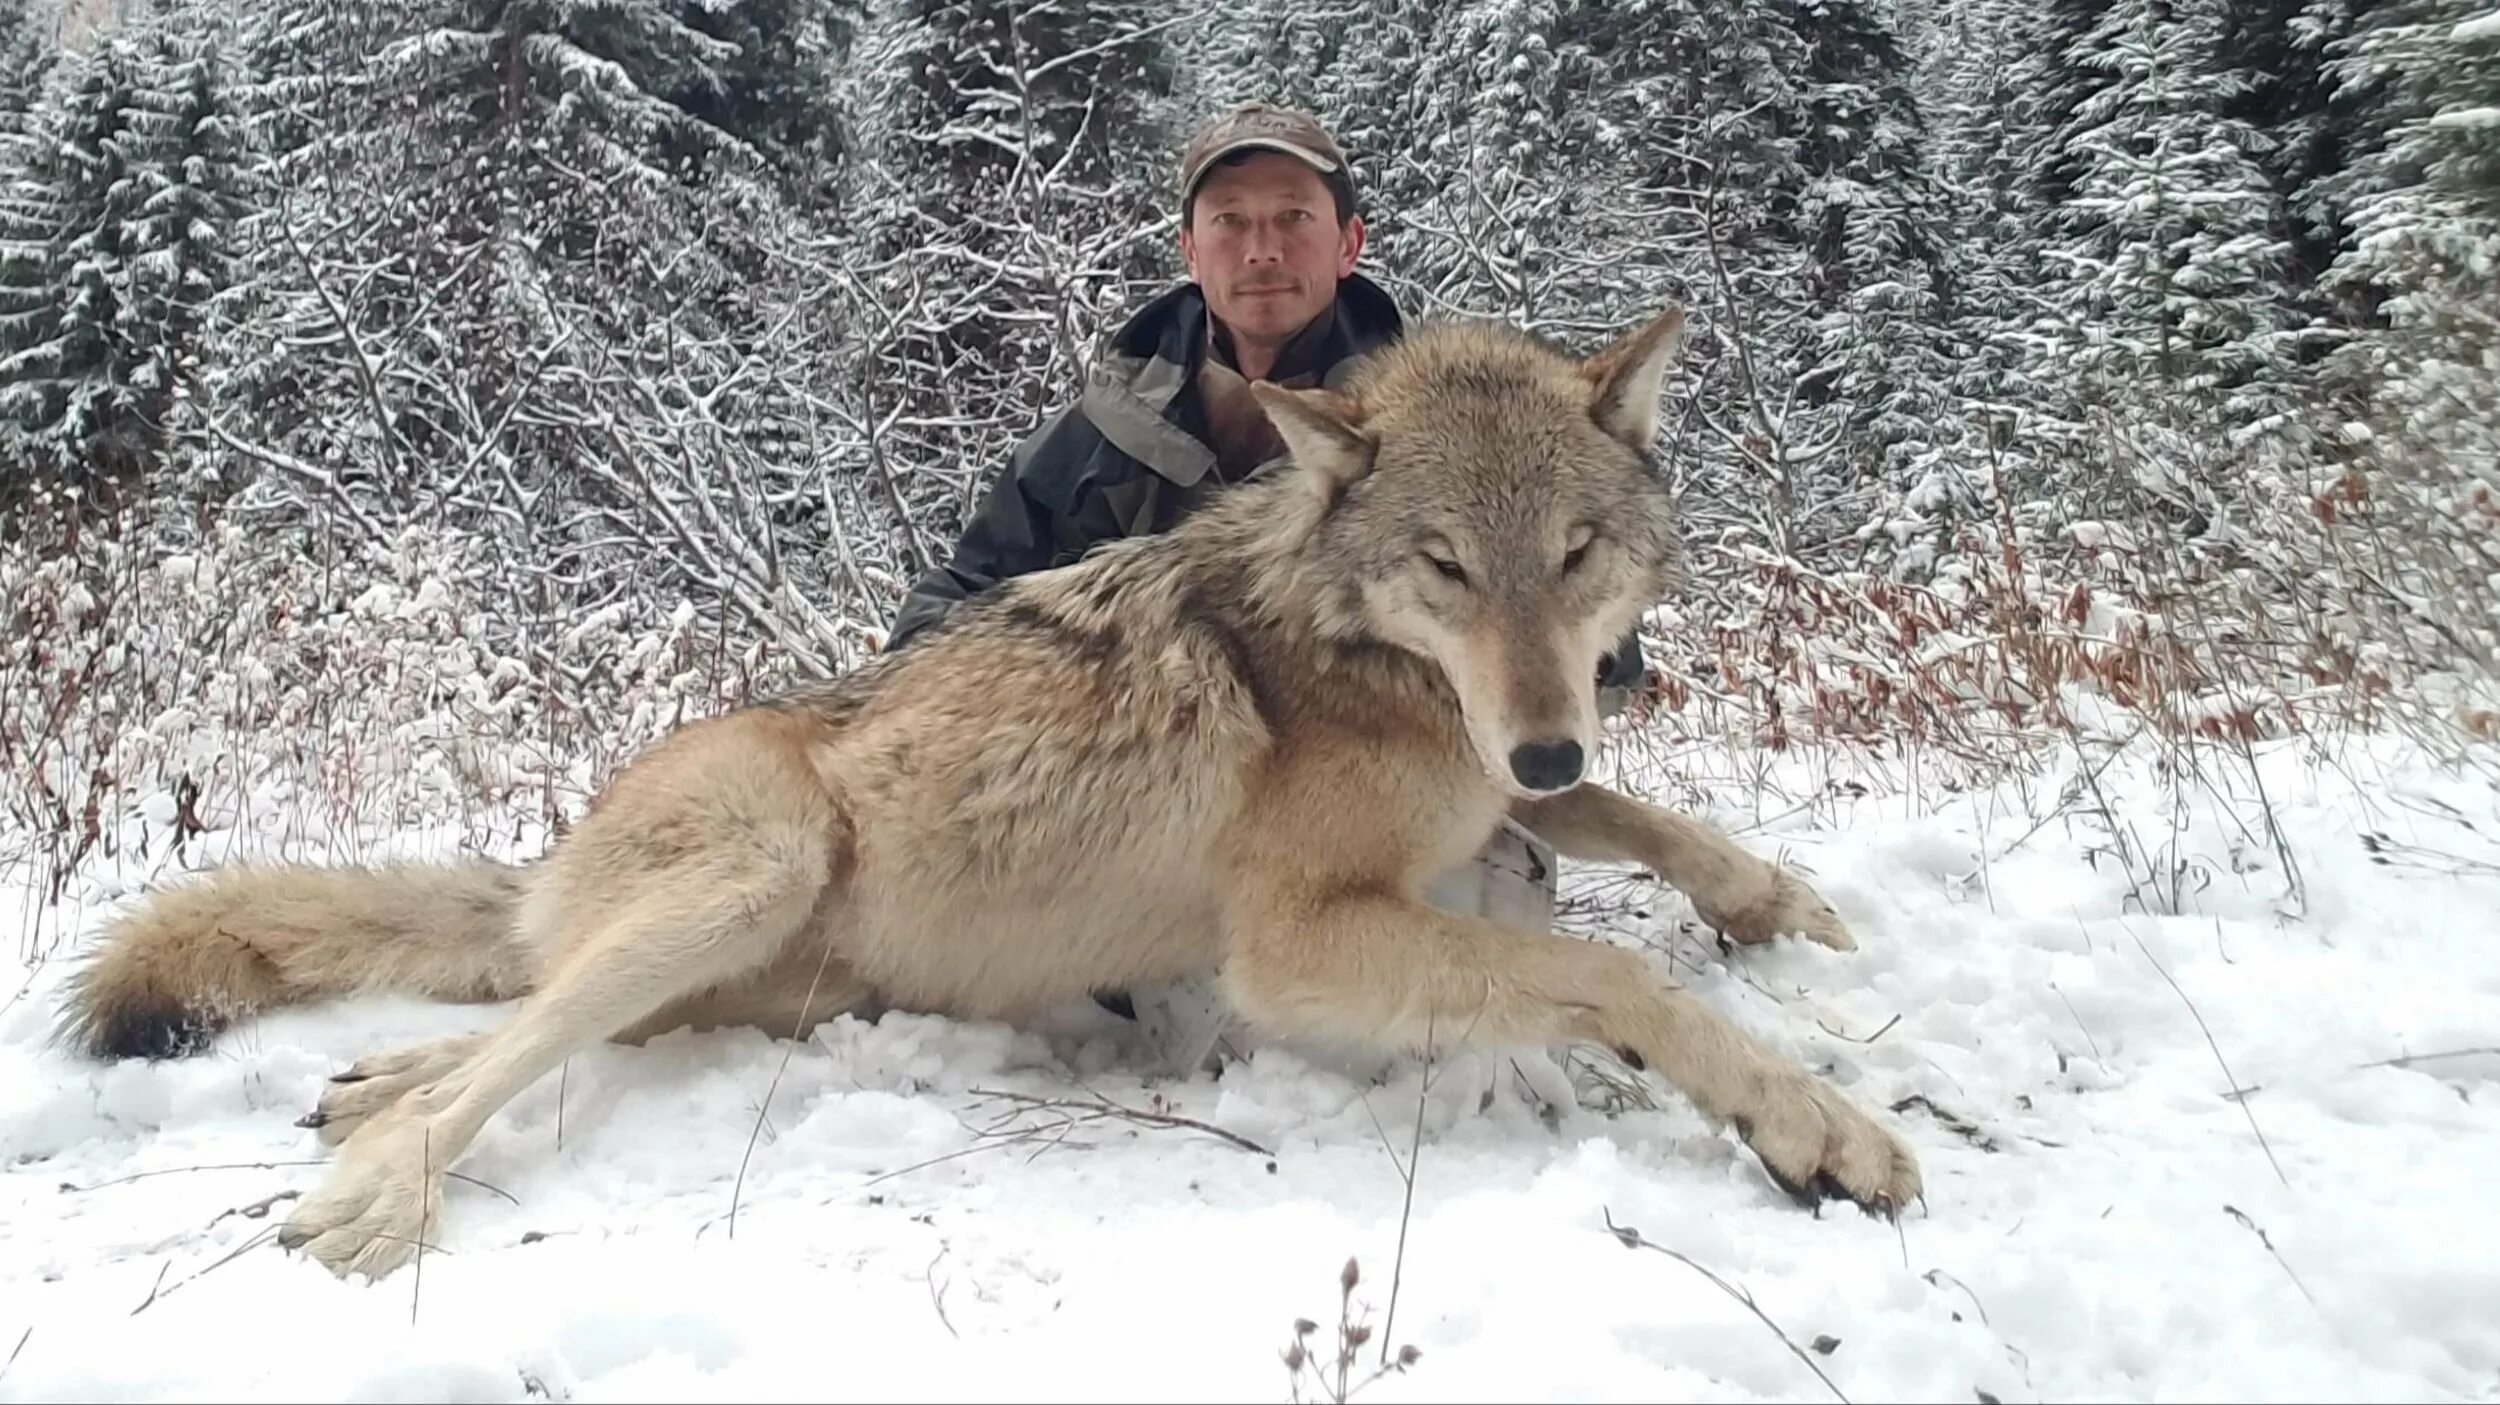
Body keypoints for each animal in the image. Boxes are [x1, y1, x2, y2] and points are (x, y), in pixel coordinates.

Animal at [63, 303, 1930, 1270]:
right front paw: (1823, 1126)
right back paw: (372, 1193)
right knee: (506, 1051)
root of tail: (556, 852)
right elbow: (1613, 971)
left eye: (1577, 555)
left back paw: (367, 1088)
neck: (1359, 654)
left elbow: (1635, 822)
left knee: (511, 1024)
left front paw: (1777, 902)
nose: (1549, 731)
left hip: (758, 981)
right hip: (756, 872)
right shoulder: (1300, 941)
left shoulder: (1486, 793)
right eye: (1452, 570)